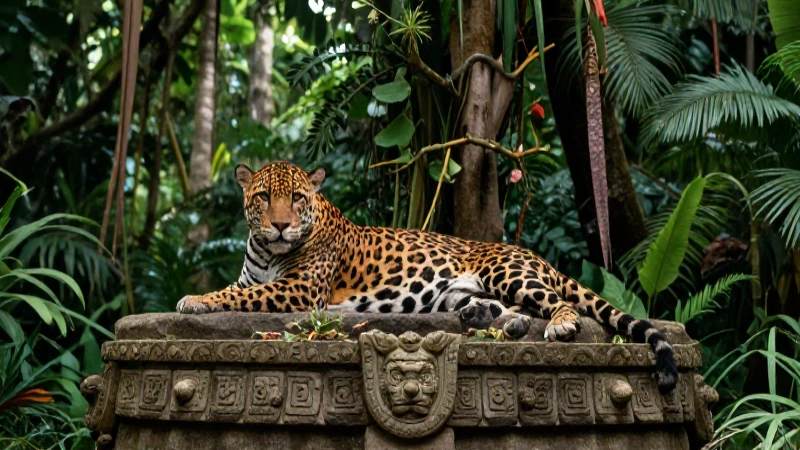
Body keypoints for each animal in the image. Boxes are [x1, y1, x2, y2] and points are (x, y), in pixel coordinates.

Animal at [177, 161, 678, 393]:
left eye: (298, 198)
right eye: (263, 197)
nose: (280, 225)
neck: (269, 249)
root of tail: (534, 254)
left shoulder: (300, 290)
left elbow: (239, 296)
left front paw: (195, 300)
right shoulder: (254, 278)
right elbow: (238, 289)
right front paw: (198, 297)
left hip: (505, 270)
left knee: (559, 302)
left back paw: (560, 325)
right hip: (455, 294)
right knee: (505, 308)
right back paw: (499, 322)